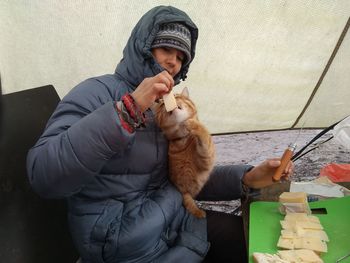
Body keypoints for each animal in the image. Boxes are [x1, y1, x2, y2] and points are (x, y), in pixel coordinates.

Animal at [154, 88, 215, 219]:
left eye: (178, 96)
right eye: (162, 105)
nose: (173, 103)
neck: (183, 140)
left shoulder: (207, 157)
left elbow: (203, 133)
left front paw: (191, 123)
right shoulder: (181, 189)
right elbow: (188, 200)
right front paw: (198, 212)